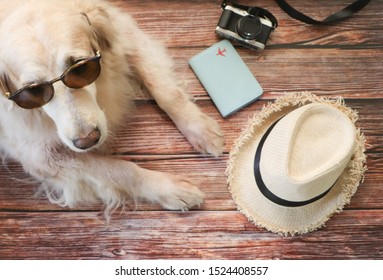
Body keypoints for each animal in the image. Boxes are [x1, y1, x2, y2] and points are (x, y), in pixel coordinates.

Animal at [0, 0, 224, 214]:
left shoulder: (123, 31)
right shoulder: (41, 158)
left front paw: (201, 130)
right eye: (33, 91)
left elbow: (166, 91)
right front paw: (171, 189)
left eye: (80, 68)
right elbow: (120, 169)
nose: (87, 141)